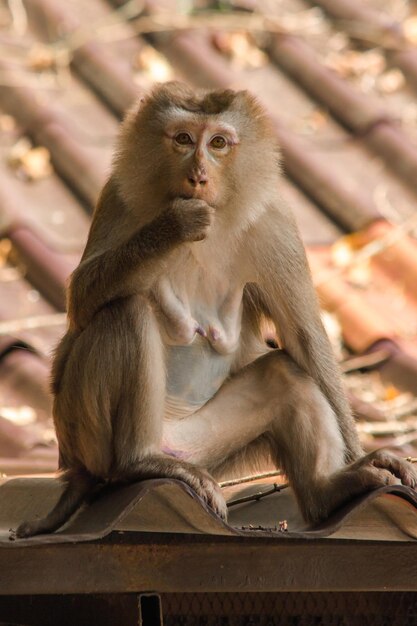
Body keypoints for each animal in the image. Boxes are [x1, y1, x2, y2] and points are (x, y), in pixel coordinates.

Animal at [13, 79, 416, 536]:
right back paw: (139, 462)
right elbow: (81, 299)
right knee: (125, 313)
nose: (198, 174)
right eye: (184, 139)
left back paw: (327, 490)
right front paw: (173, 225)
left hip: (203, 447)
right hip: (84, 434)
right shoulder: (117, 195)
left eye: (219, 142)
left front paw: (359, 458)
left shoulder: (274, 222)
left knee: (282, 373)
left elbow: (305, 338)